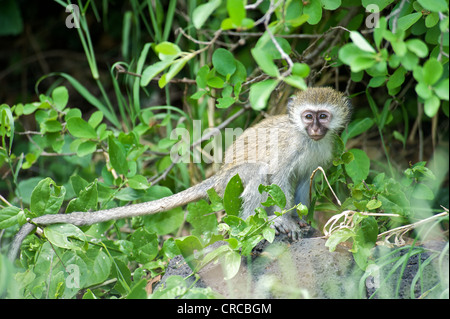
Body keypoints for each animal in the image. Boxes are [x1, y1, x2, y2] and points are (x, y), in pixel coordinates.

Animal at [7, 87, 352, 260]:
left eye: (323, 116)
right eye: (308, 116)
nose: (316, 128)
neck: (307, 138)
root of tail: (217, 175)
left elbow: (305, 182)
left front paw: (303, 220)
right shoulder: (289, 146)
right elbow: (278, 177)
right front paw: (285, 220)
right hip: (228, 184)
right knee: (255, 172)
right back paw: (255, 228)